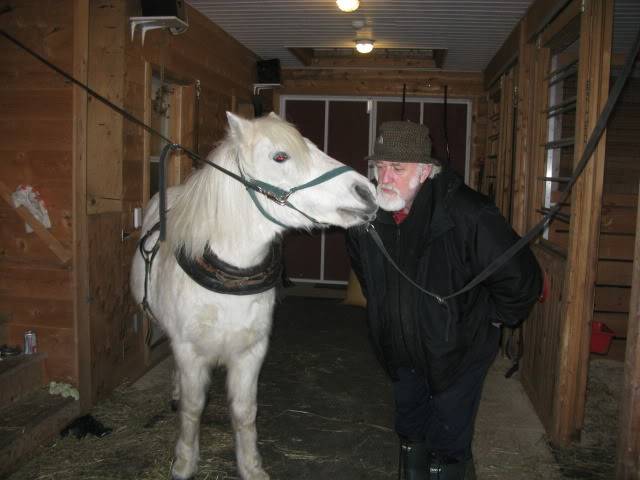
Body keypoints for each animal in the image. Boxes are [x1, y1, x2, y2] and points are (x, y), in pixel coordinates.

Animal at [132, 110, 378, 478]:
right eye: (280, 157)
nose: (367, 191)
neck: (227, 282)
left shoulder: (251, 352)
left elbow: (246, 413)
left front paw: (251, 466)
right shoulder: (190, 351)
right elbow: (192, 409)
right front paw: (185, 462)